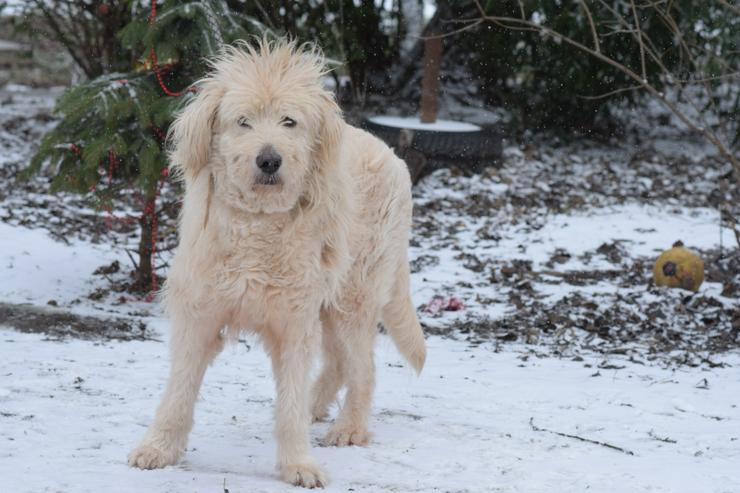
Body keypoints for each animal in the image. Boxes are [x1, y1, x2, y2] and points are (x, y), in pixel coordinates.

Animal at [128, 40, 428, 486]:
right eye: (243, 122)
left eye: (289, 121)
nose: (269, 160)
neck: (257, 225)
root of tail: (391, 152)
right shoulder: (198, 315)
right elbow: (178, 393)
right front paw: (158, 448)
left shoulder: (293, 324)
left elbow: (289, 406)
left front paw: (298, 464)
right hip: (329, 304)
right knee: (337, 362)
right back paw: (317, 406)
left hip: (352, 298)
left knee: (362, 368)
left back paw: (349, 427)